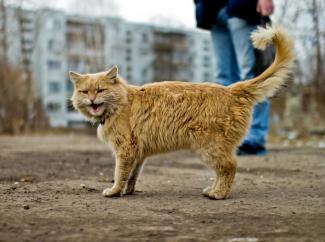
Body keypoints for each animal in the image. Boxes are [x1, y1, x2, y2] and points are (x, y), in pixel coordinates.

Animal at [70, 26, 294, 199]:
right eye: (85, 91)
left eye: (100, 90)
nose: (92, 99)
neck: (122, 103)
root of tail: (232, 89)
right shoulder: (138, 153)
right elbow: (132, 176)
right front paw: (127, 191)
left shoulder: (125, 150)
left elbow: (119, 173)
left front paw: (115, 191)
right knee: (223, 170)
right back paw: (211, 190)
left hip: (210, 148)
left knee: (229, 167)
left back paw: (218, 194)